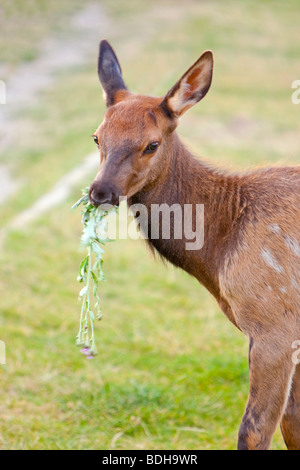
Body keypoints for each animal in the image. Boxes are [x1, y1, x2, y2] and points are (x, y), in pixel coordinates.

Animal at [87, 39, 300, 448]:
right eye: (97, 137)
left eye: (151, 144)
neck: (219, 253)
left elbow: (255, 429)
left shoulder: (274, 326)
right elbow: (292, 423)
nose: (100, 192)